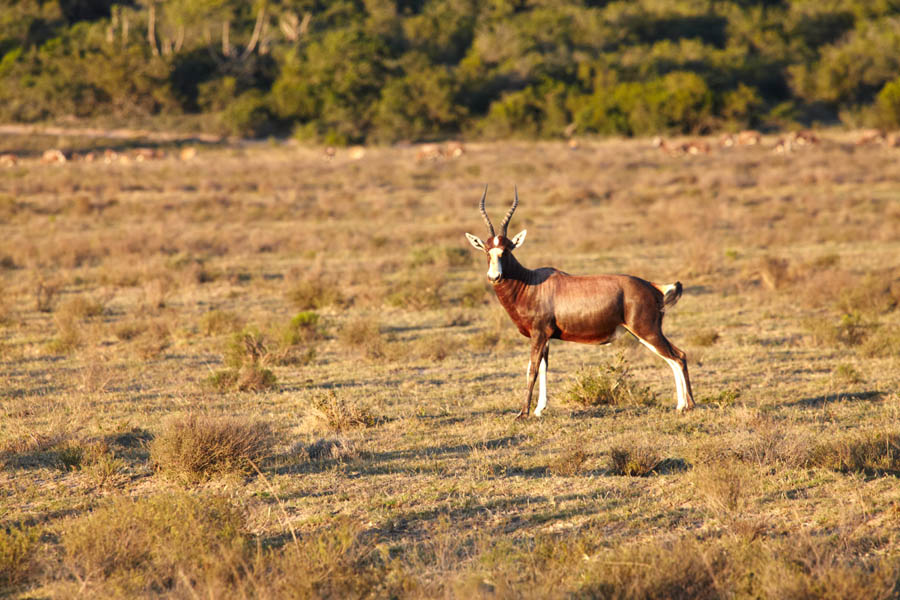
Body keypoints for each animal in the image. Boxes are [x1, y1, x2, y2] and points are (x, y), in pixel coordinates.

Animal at [468, 188, 692, 418]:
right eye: (486, 250)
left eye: (507, 250)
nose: (494, 277)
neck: (530, 283)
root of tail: (653, 286)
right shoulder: (546, 337)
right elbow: (543, 368)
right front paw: (539, 409)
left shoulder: (538, 334)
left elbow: (532, 369)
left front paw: (523, 413)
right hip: (643, 334)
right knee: (674, 358)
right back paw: (680, 406)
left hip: (647, 331)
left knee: (678, 356)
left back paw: (688, 405)